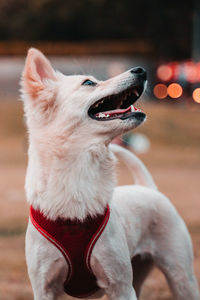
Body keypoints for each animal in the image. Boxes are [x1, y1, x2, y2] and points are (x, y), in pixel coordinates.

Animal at [21, 48, 199, 298]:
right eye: (88, 82)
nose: (141, 70)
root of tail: (146, 187)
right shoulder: (44, 288)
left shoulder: (120, 286)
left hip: (180, 277)